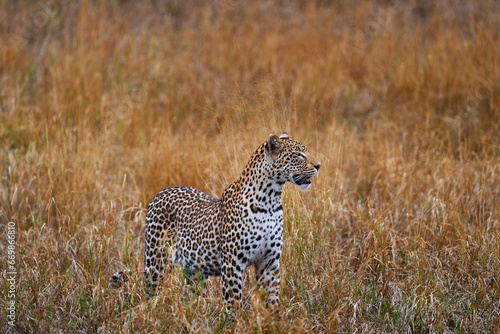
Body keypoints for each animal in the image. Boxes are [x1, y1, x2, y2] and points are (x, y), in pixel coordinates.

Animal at [142, 132, 320, 312]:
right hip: (156, 261)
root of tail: (160, 193)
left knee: (191, 296)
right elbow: (233, 302)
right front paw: (235, 319)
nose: (319, 165)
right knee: (150, 292)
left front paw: (274, 318)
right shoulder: (233, 264)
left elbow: (272, 299)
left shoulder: (269, 261)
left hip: (195, 270)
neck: (270, 200)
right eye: (298, 154)